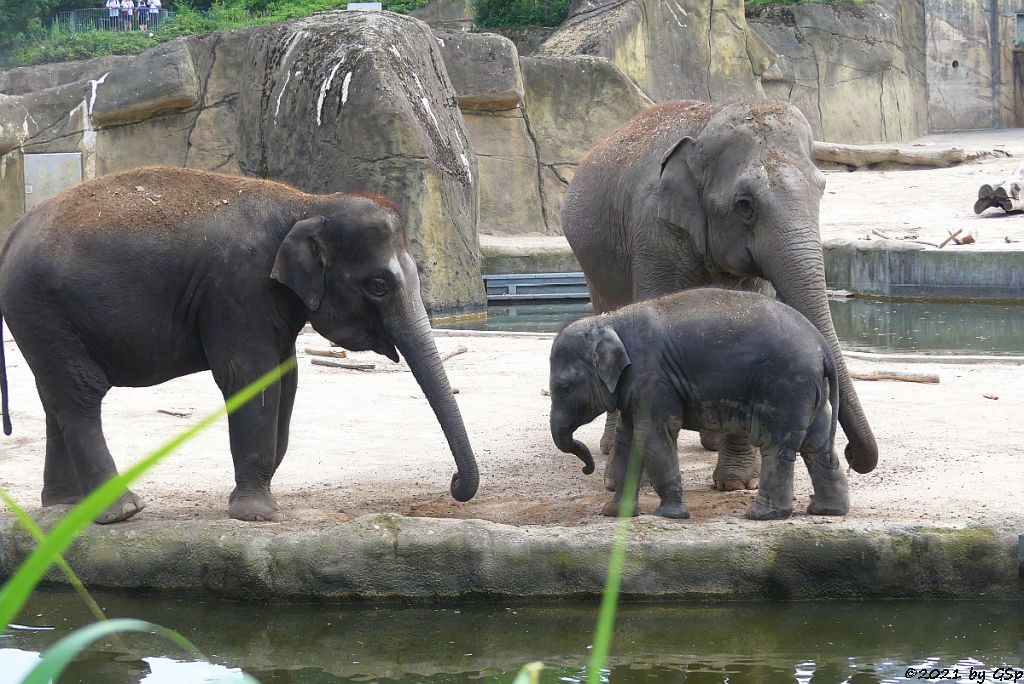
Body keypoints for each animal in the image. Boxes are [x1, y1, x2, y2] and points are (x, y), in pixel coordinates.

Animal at [0, 165, 479, 524]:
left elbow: (287, 379)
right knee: (80, 393)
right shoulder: (238, 288)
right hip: (40, 307)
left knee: (54, 396)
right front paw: (257, 515)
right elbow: (250, 377)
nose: (456, 486)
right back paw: (121, 511)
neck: (307, 204)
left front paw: (256, 495)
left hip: (41, 319)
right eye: (378, 286)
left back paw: (63, 506)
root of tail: (13, 233)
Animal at [552, 286, 847, 518]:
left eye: (563, 388)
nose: (586, 469)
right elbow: (628, 437)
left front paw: (671, 515)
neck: (610, 320)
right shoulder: (637, 386)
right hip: (809, 389)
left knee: (775, 443)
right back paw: (827, 510)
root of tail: (823, 348)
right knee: (817, 444)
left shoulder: (653, 377)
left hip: (785, 385)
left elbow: (653, 435)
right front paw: (615, 514)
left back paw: (762, 515)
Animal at [565, 98, 876, 489]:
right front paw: (639, 480)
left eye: (821, 189)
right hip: (592, 264)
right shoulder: (655, 234)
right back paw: (609, 448)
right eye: (744, 204)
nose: (851, 455)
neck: (706, 125)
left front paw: (737, 482)